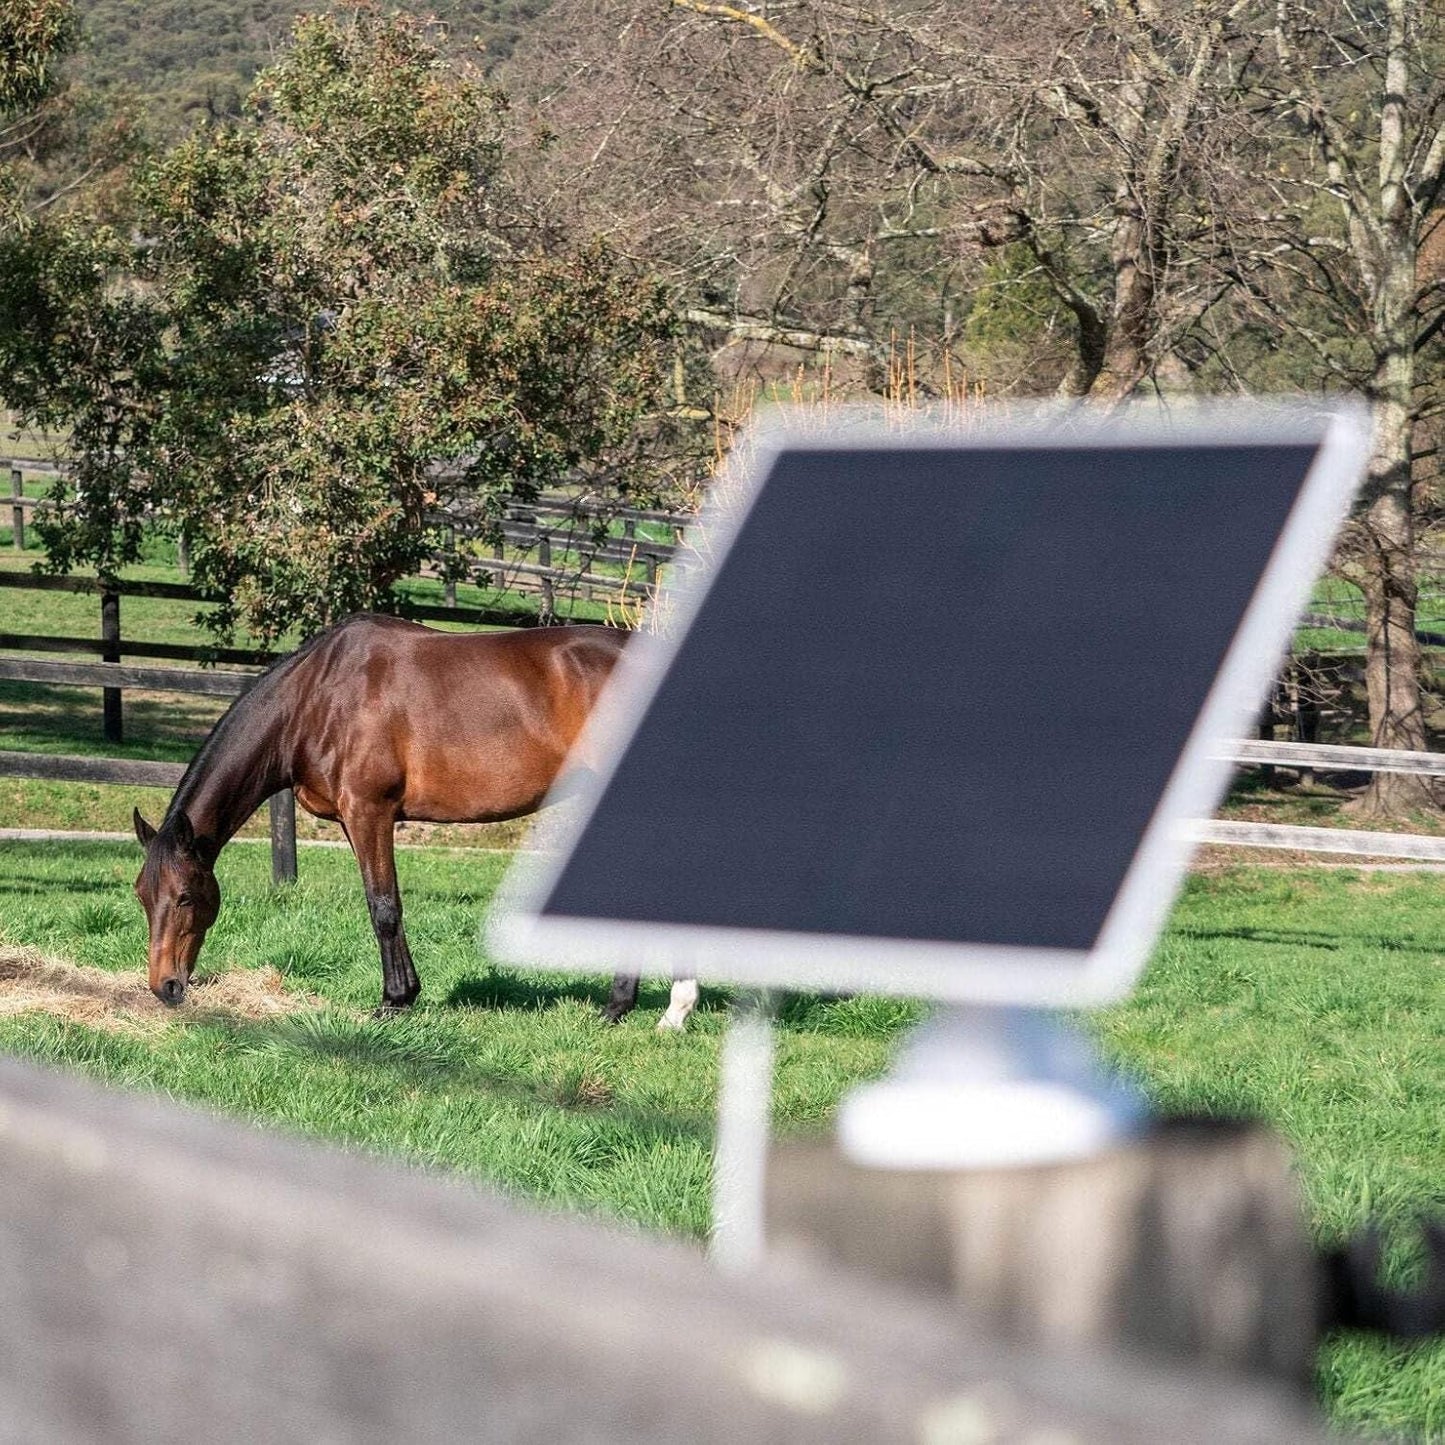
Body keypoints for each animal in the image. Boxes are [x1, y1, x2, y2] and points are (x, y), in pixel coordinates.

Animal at [132, 613, 697, 1028]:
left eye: (186, 896)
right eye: (142, 896)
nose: (165, 987)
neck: (317, 697)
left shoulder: (370, 811)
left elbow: (383, 906)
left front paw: (395, 999)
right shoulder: (352, 819)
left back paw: (641, 1006)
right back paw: (662, 1009)